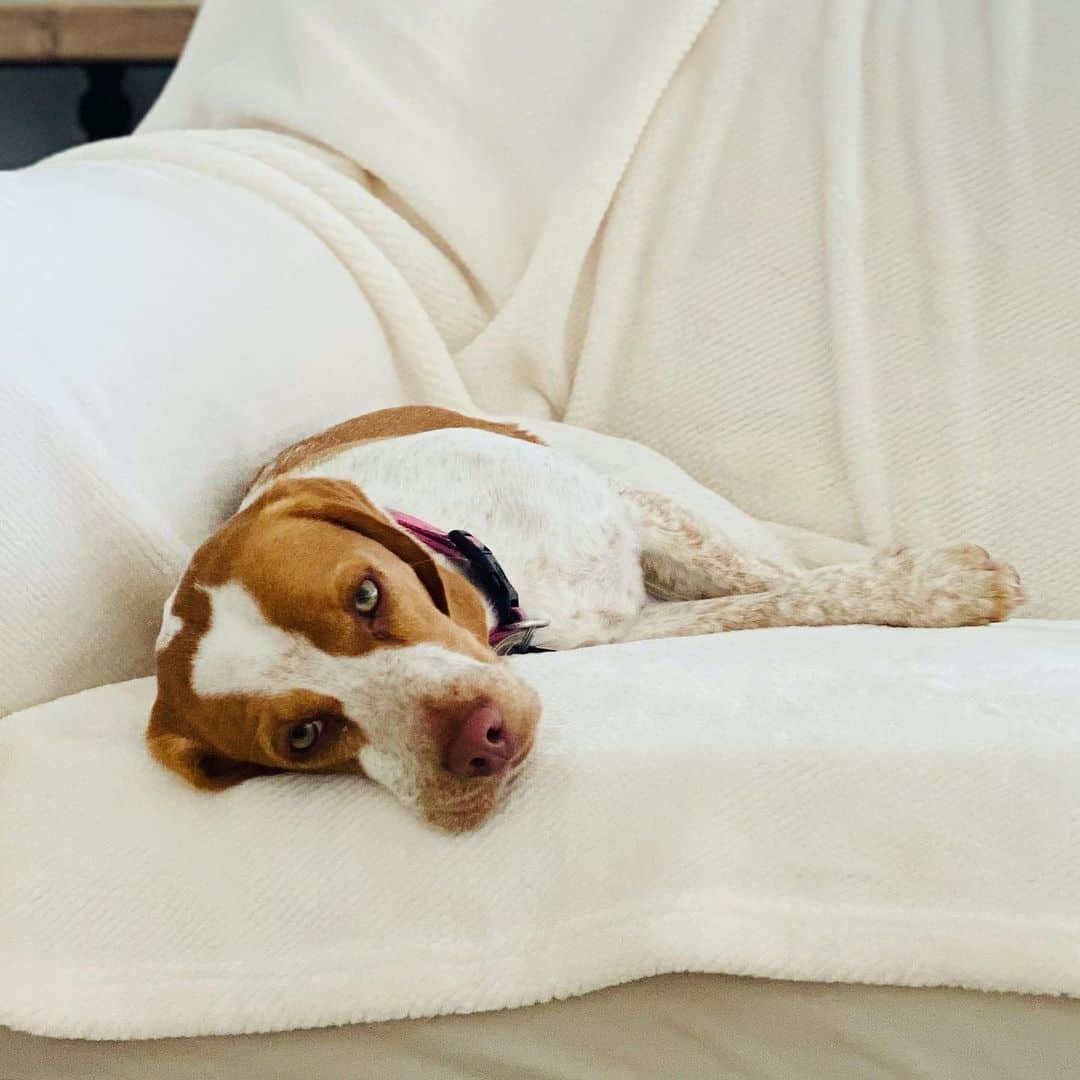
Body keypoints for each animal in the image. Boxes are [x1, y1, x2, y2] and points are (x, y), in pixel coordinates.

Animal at [150, 406, 1019, 825]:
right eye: (303, 736)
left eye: (365, 594)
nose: (479, 741)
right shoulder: (625, 626)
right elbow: (766, 604)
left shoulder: (641, 514)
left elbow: (799, 585)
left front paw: (934, 585)